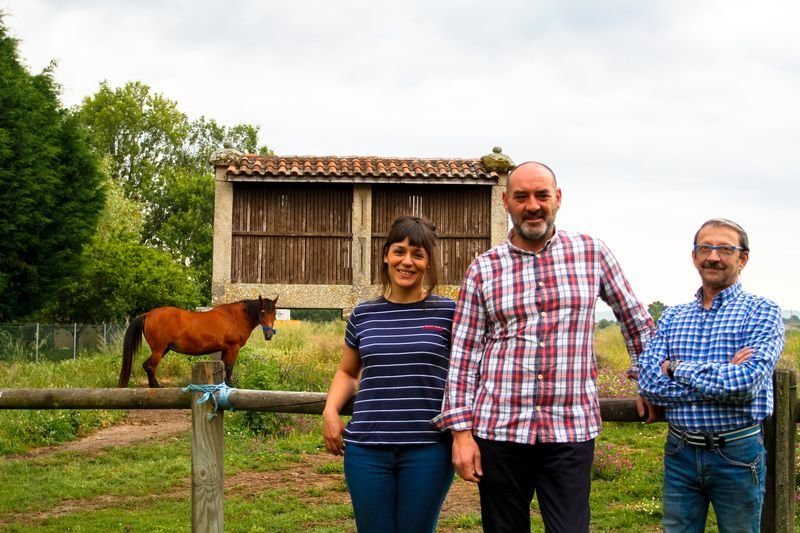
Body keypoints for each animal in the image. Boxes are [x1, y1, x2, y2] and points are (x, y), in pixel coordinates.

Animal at [117, 296, 280, 386]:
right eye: (262, 311)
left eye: (275, 312)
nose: (269, 334)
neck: (235, 317)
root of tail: (148, 314)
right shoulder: (233, 348)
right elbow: (229, 369)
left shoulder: (225, 349)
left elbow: (223, 368)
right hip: (159, 350)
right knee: (150, 367)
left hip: (163, 349)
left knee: (146, 366)